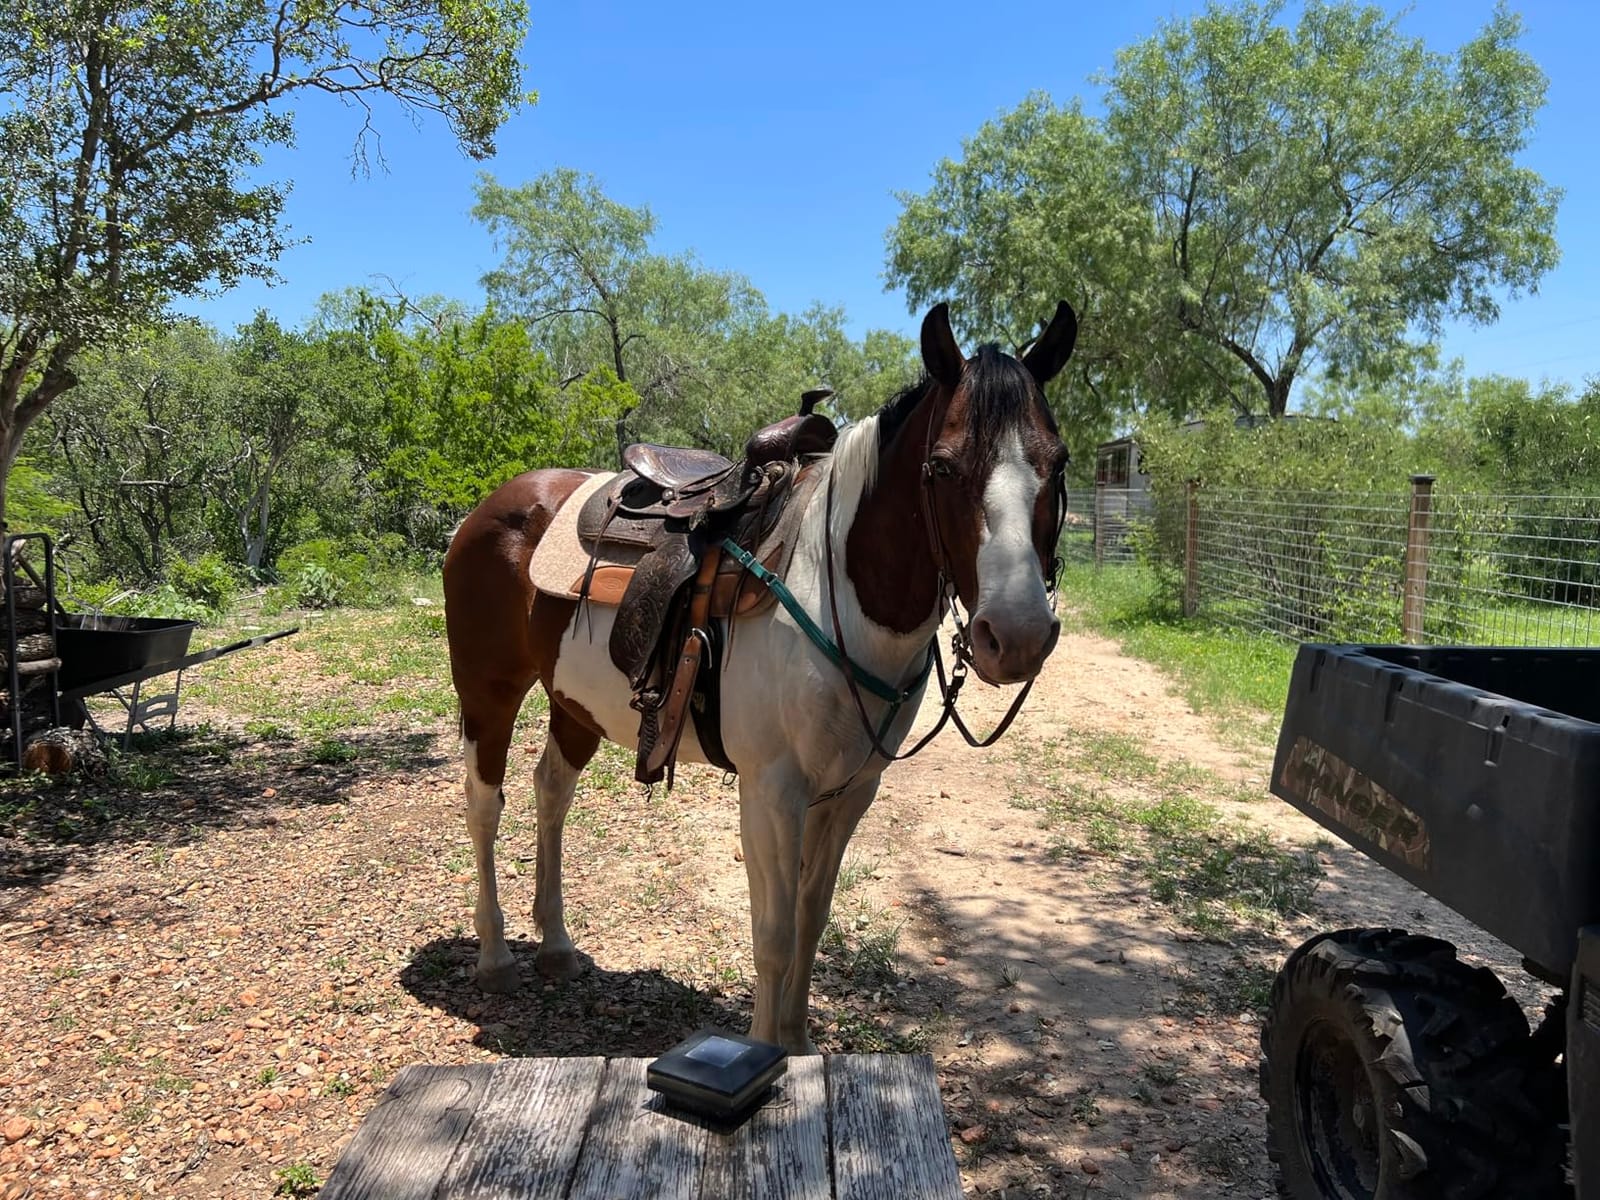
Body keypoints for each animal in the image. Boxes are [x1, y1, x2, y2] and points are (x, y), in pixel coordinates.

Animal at [442, 300, 1077, 1053]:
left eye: (1059, 462)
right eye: (944, 467)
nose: (1017, 635)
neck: (832, 589)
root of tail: (489, 506)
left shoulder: (851, 790)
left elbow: (810, 922)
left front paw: (798, 1048)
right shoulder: (772, 789)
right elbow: (773, 933)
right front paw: (766, 1050)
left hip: (573, 702)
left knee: (550, 793)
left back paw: (557, 945)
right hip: (488, 690)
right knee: (485, 805)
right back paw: (495, 956)